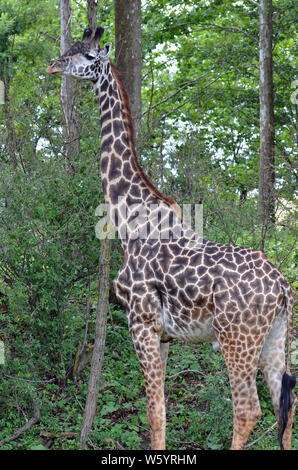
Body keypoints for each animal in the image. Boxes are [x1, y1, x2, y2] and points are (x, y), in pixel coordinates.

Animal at [46, 26, 296, 452]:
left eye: (87, 55)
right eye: (71, 49)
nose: (53, 64)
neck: (128, 219)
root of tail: (282, 287)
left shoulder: (141, 323)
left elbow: (153, 411)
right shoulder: (163, 336)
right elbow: (159, 413)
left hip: (237, 340)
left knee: (248, 409)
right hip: (276, 339)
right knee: (286, 406)